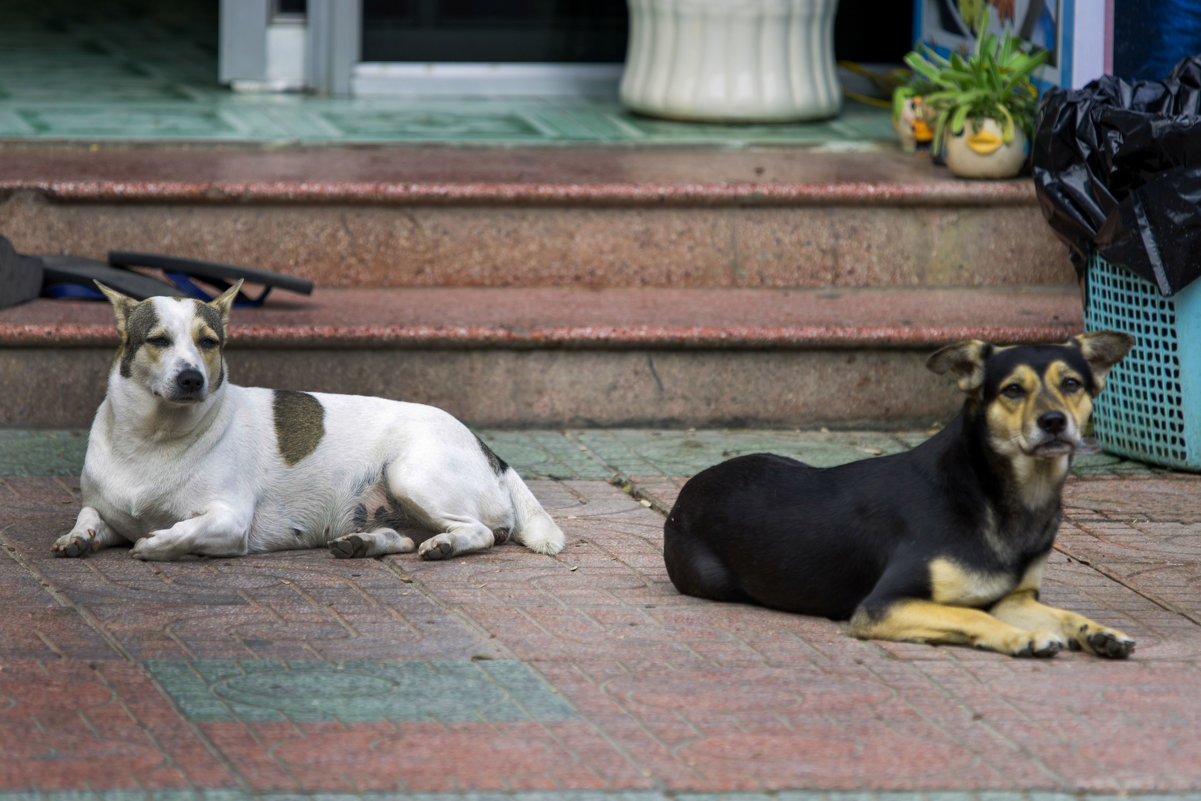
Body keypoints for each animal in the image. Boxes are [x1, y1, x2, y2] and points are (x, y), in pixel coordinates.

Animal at [51, 283, 566, 564]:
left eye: (209, 342)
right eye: (157, 340)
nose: (192, 377)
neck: (154, 439)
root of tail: (488, 450)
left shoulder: (229, 521)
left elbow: (180, 533)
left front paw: (156, 544)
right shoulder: (107, 509)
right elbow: (90, 516)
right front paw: (78, 537)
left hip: (411, 474)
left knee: (480, 532)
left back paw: (443, 545)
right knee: (402, 537)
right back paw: (362, 542)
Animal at [667, 331, 1133, 658]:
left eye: (1071, 383)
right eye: (1013, 390)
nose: (1053, 421)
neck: (993, 493)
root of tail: (687, 491)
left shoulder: (1013, 596)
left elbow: (1061, 613)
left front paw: (1098, 632)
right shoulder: (883, 605)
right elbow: (967, 612)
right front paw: (1026, 636)